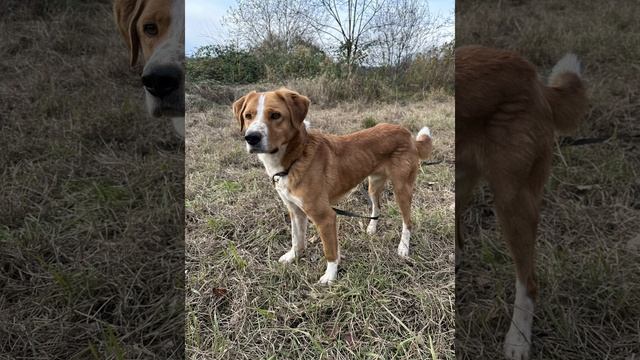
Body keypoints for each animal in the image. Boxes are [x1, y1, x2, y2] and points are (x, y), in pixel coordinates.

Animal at [232, 88, 432, 284]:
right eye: (248, 116)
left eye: (275, 115)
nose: (251, 138)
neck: (297, 156)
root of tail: (406, 133)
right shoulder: (295, 210)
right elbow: (297, 239)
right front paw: (293, 256)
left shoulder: (325, 217)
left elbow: (330, 251)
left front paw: (330, 276)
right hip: (373, 185)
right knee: (377, 206)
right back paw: (371, 228)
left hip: (402, 189)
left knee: (408, 221)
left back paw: (403, 248)